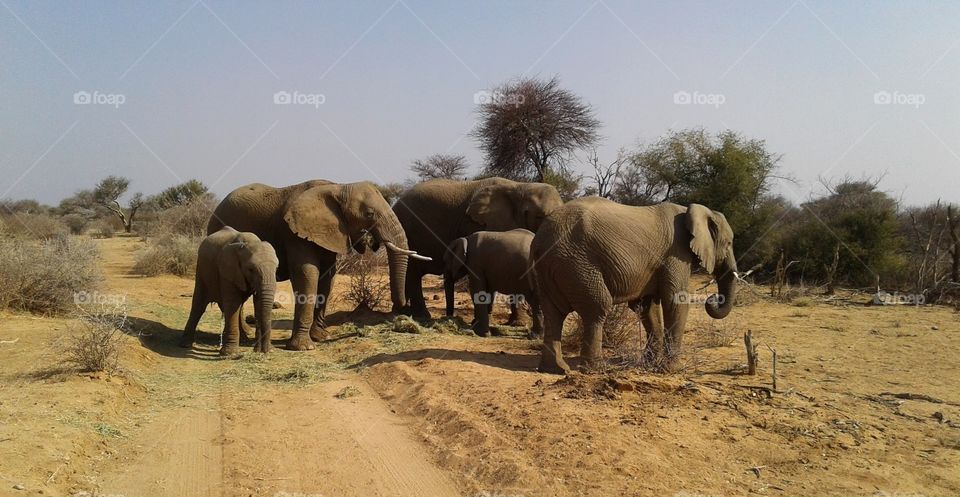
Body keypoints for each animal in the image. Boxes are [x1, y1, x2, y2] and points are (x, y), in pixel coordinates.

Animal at [180, 227, 279, 355]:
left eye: (276, 268)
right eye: (251, 269)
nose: (263, 351)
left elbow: (257, 303)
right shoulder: (228, 271)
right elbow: (232, 304)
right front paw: (229, 353)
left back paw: (243, 340)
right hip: (201, 269)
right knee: (199, 305)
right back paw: (185, 344)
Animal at [208, 180, 428, 351]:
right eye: (369, 213)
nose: (402, 309)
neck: (338, 187)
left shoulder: (330, 233)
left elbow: (328, 277)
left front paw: (321, 337)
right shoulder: (294, 233)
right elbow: (307, 274)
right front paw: (303, 347)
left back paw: (246, 336)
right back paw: (244, 338)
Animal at [393, 177, 563, 319]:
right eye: (540, 217)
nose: (449, 317)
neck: (521, 186)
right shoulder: (475, 223)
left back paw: (404, 312)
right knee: (413, 273)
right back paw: (421, 316)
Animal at [530, 197, 738, 374]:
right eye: (728, 244)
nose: (712, 299)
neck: (691, 211)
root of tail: (540, 239)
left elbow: (647, 308)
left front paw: (651, 363)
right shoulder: (676, 254)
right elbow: (675, 301)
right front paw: (672, 369)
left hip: (552, 268)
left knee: (554, 314)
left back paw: (556, 369)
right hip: (577, 264)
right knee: (597, 308)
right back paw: (597, 369)